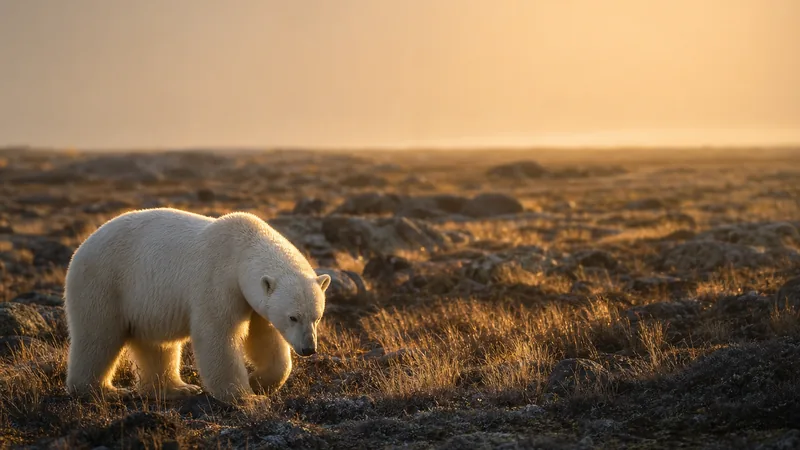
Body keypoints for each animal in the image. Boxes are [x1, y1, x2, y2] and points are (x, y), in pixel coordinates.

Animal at [63, 207, 330, 403]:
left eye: (316, 317)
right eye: (293, 317)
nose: (309, 348)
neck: (243, 249)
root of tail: (82, 247)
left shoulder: (252, 300)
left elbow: (265, 338)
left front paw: (259, 382)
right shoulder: (218, 281)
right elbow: (218, 336)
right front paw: (246, 397)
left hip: (145, 304)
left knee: (156, 345)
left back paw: (178, 388)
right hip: (105, 284)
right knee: (98, 337)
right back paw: (102, 390)